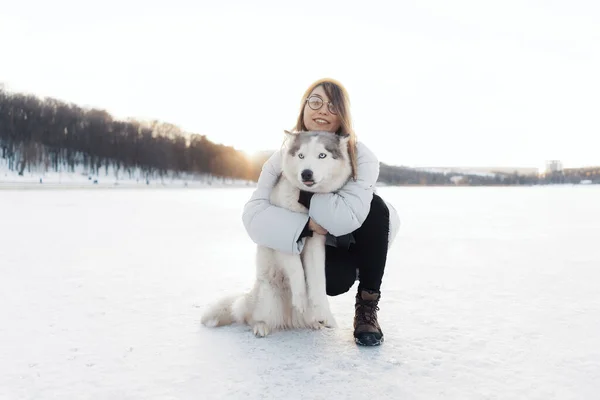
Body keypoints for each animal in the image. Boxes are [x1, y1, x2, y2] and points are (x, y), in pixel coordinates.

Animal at [202, 131, 352, 338]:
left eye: (322, 155)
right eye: (301, 155)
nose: (306, 173)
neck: (305, 199)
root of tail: (289, 320)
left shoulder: (315, 242)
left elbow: (317, 280)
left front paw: (324, 314)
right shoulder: (287, 238)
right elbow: (297, 270)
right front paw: (300, 299)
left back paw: (314, 322)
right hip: (267, 297)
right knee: (250, 317)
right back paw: (261, 326)